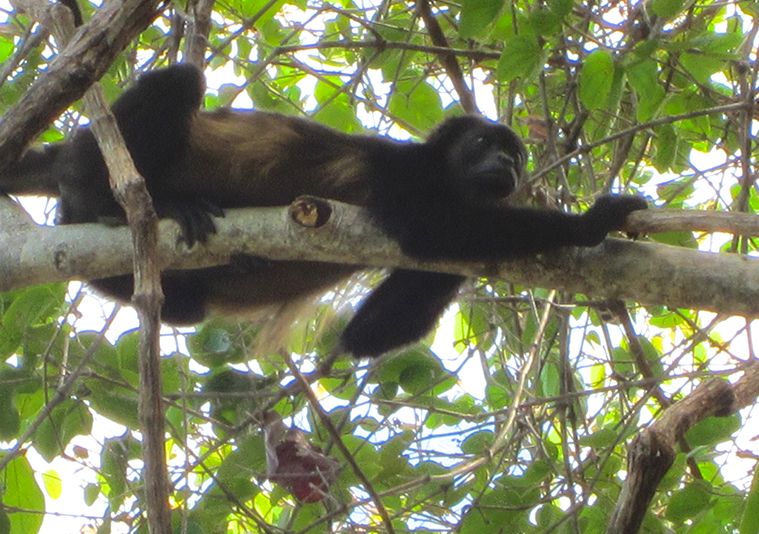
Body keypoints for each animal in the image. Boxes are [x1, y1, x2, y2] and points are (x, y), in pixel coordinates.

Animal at [2, 66, 652, 360]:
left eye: (515, 154)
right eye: (483, 146)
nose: (508, 166)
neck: (440, 169)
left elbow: (368, 334)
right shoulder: (400, 172)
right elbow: (425, 228)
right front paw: (593, 221)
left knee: (182, 307)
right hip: (95, 148)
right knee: (182, 79)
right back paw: (102, 200)